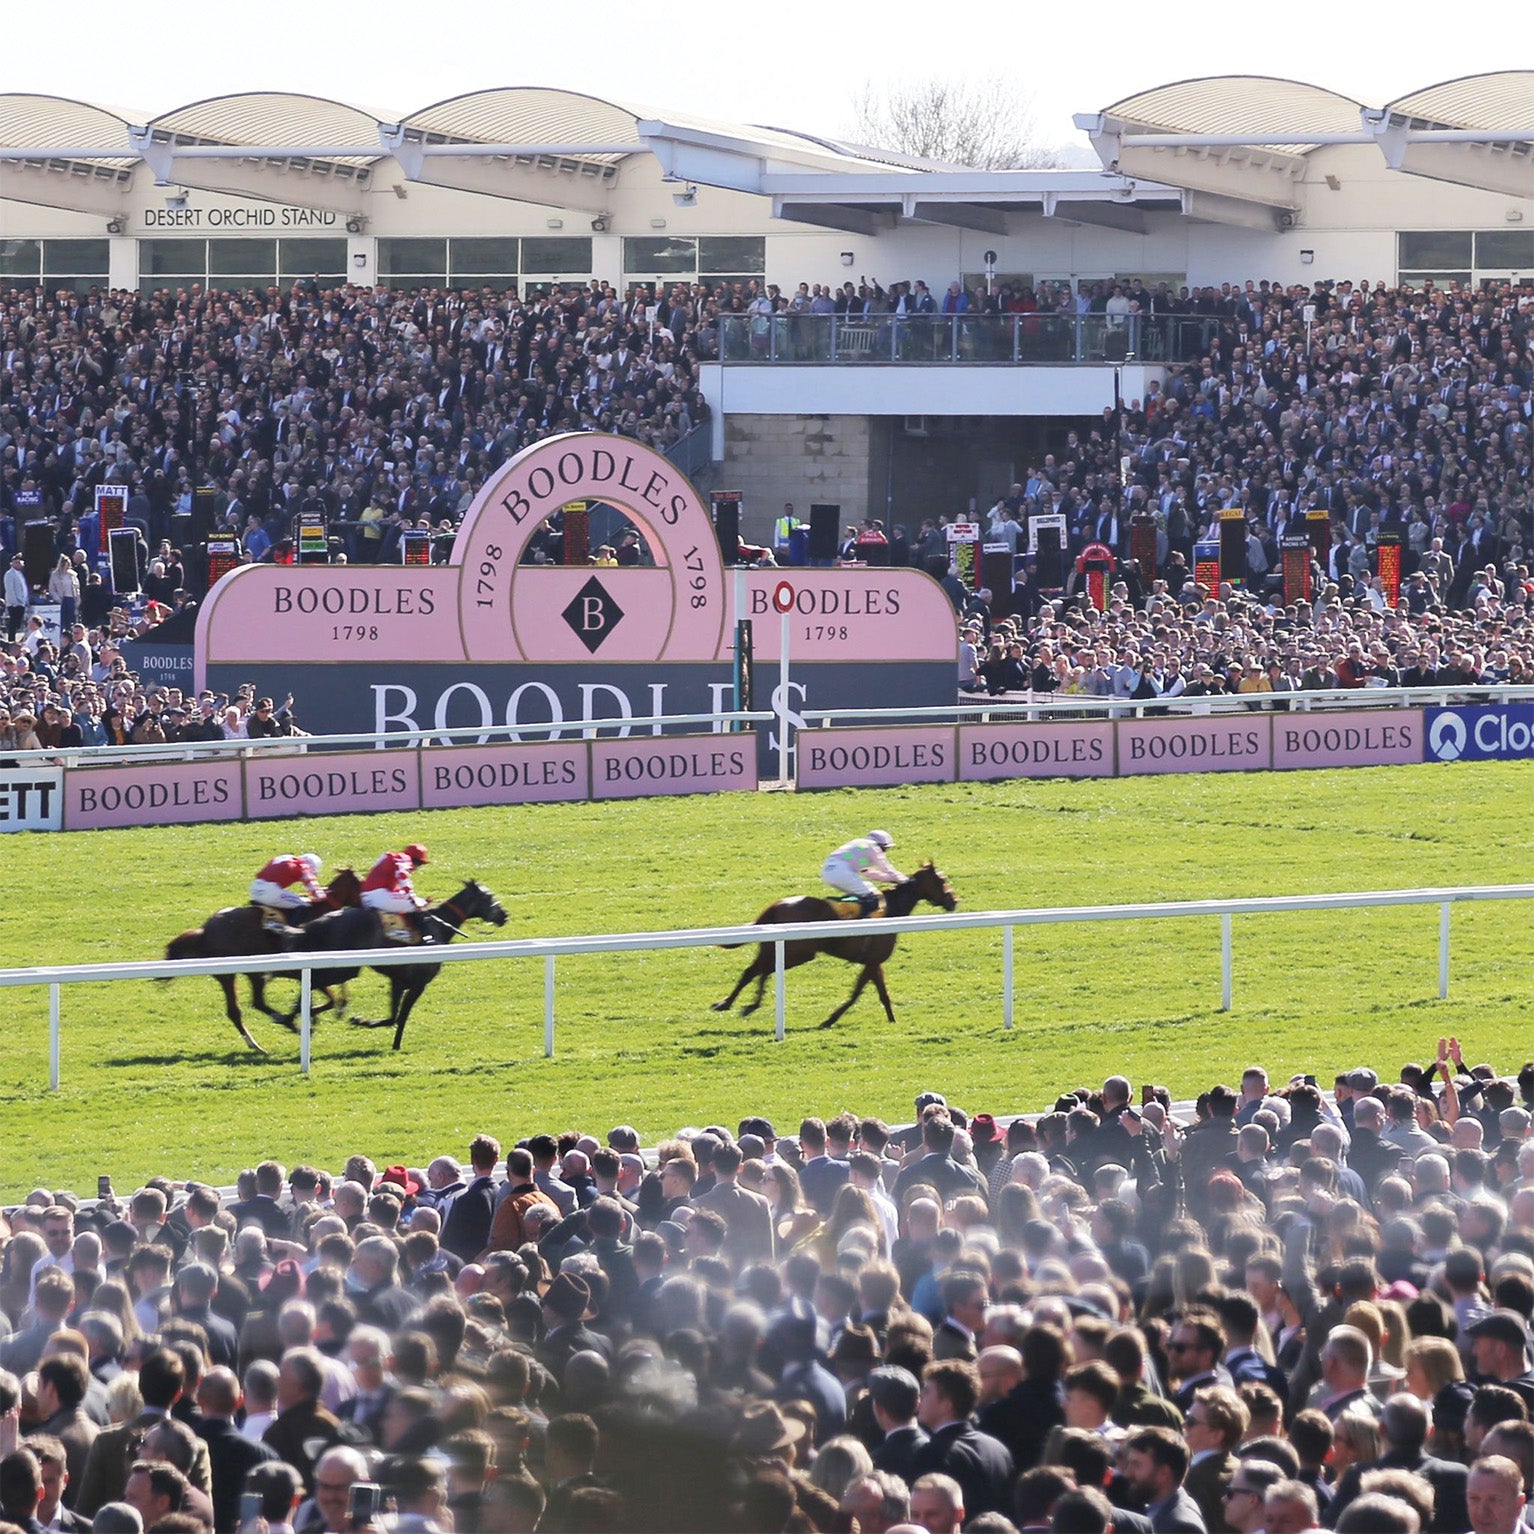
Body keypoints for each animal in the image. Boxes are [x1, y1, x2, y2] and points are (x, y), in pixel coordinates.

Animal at [165, 865, 365, 1055]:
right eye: (361, 882)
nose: (368, 904)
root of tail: (205, 930)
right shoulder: (309, 970)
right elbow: (328, 999)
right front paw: (312, 1016)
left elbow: (337, 989)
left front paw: (334, 1010)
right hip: (240, 974)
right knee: (248, 1006)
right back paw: (278, 1028)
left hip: (239, 974)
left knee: (244, 1007)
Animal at [277, 883, 509, 1049]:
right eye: (489, 897)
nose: (504, 915)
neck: (438, 927)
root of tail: (322, 921)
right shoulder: (418, 985)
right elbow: (401, 1017)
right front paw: (391, 1041)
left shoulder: (398, 981)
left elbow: (392, 1018)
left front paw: (364, 1022)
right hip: (345, 967)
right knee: (315, 980)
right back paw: (298, 1015)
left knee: (313, 981)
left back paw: (301, 1015)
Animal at [711, 865, 951, 1030]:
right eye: (942, 880)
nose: (953, 901)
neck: (892, 911)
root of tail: (776, 905)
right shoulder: (873, 961)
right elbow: (857, 994)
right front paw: (830, 1020)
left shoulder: (873, 962)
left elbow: (881, 994)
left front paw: (892, 1021)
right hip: (798, 952)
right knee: (757, 970)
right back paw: (731, 1003)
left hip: (775, 948)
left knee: (756, 971)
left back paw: (742, 1004)